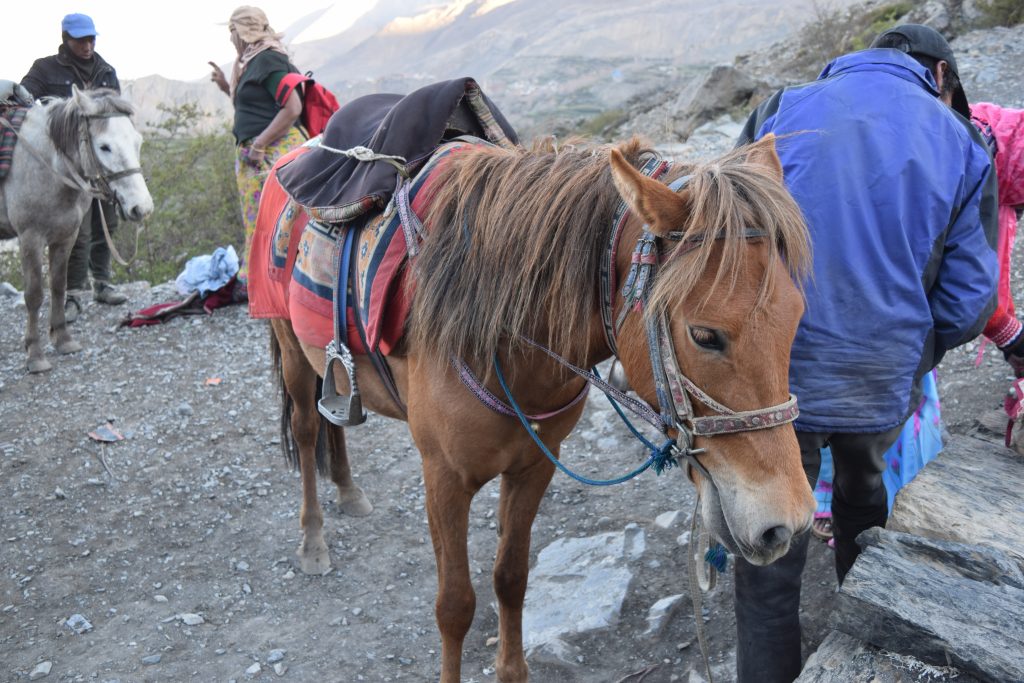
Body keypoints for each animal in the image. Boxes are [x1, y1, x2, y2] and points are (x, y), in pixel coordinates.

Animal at [0, 87, 152, 374]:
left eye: (137, 142)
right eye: (104, 146)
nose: (142, 208)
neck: (47, 166)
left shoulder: (65, 236)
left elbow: (59, 285)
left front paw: (63, 339)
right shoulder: (30, 239)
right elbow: (34, 295)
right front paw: (35, 354)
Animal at [266, 135, 815, 683]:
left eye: (796, 317)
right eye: (704, 335)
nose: (788, 522)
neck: (499, 332)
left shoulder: (534, 465)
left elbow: (511, 577)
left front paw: (512, 669)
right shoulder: (443, 479)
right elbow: (455, 605)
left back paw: (348, 489)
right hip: (292, 352)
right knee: (308, 428)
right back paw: (312, 538)